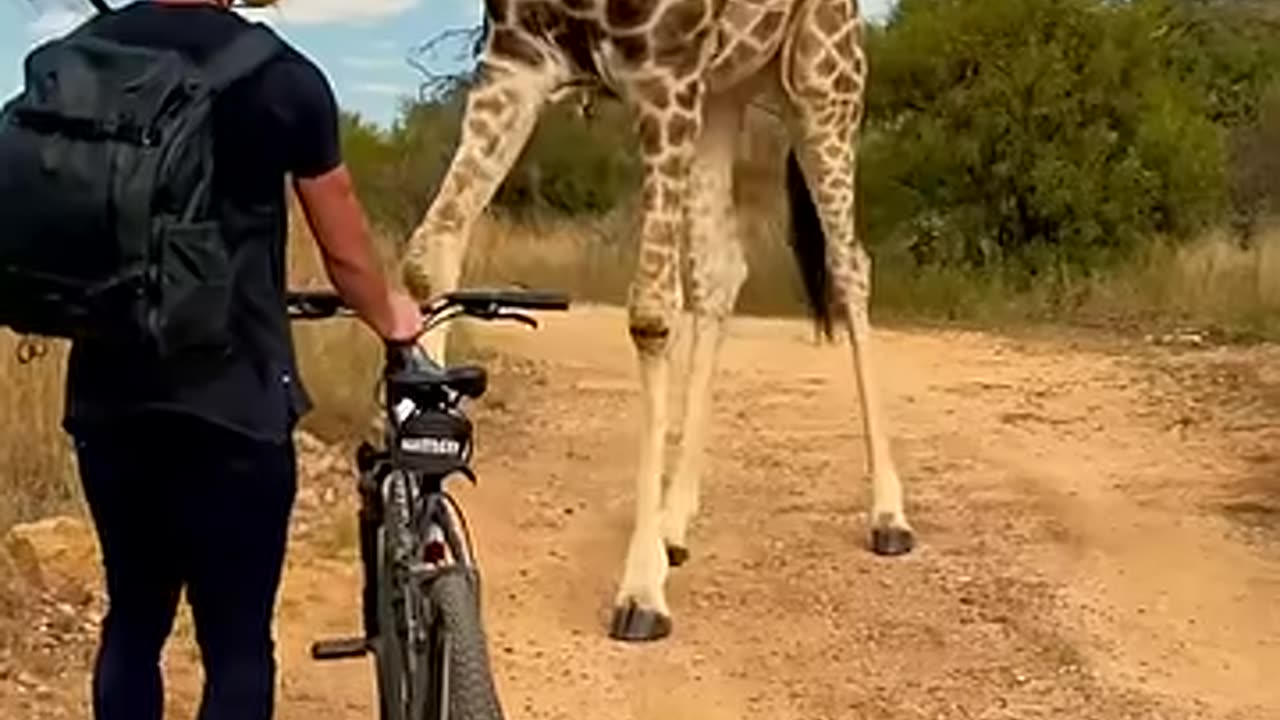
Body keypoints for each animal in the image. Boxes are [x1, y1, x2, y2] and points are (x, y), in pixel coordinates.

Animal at [400, 0, 915, 642]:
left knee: (849, 267)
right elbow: (429, 254)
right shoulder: (514, 62)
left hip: (821, 81)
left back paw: (889, 516)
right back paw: (673, 526)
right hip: (721, 96)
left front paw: (642, 592)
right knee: (721, 269)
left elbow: (649, 308)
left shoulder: (663, 75)